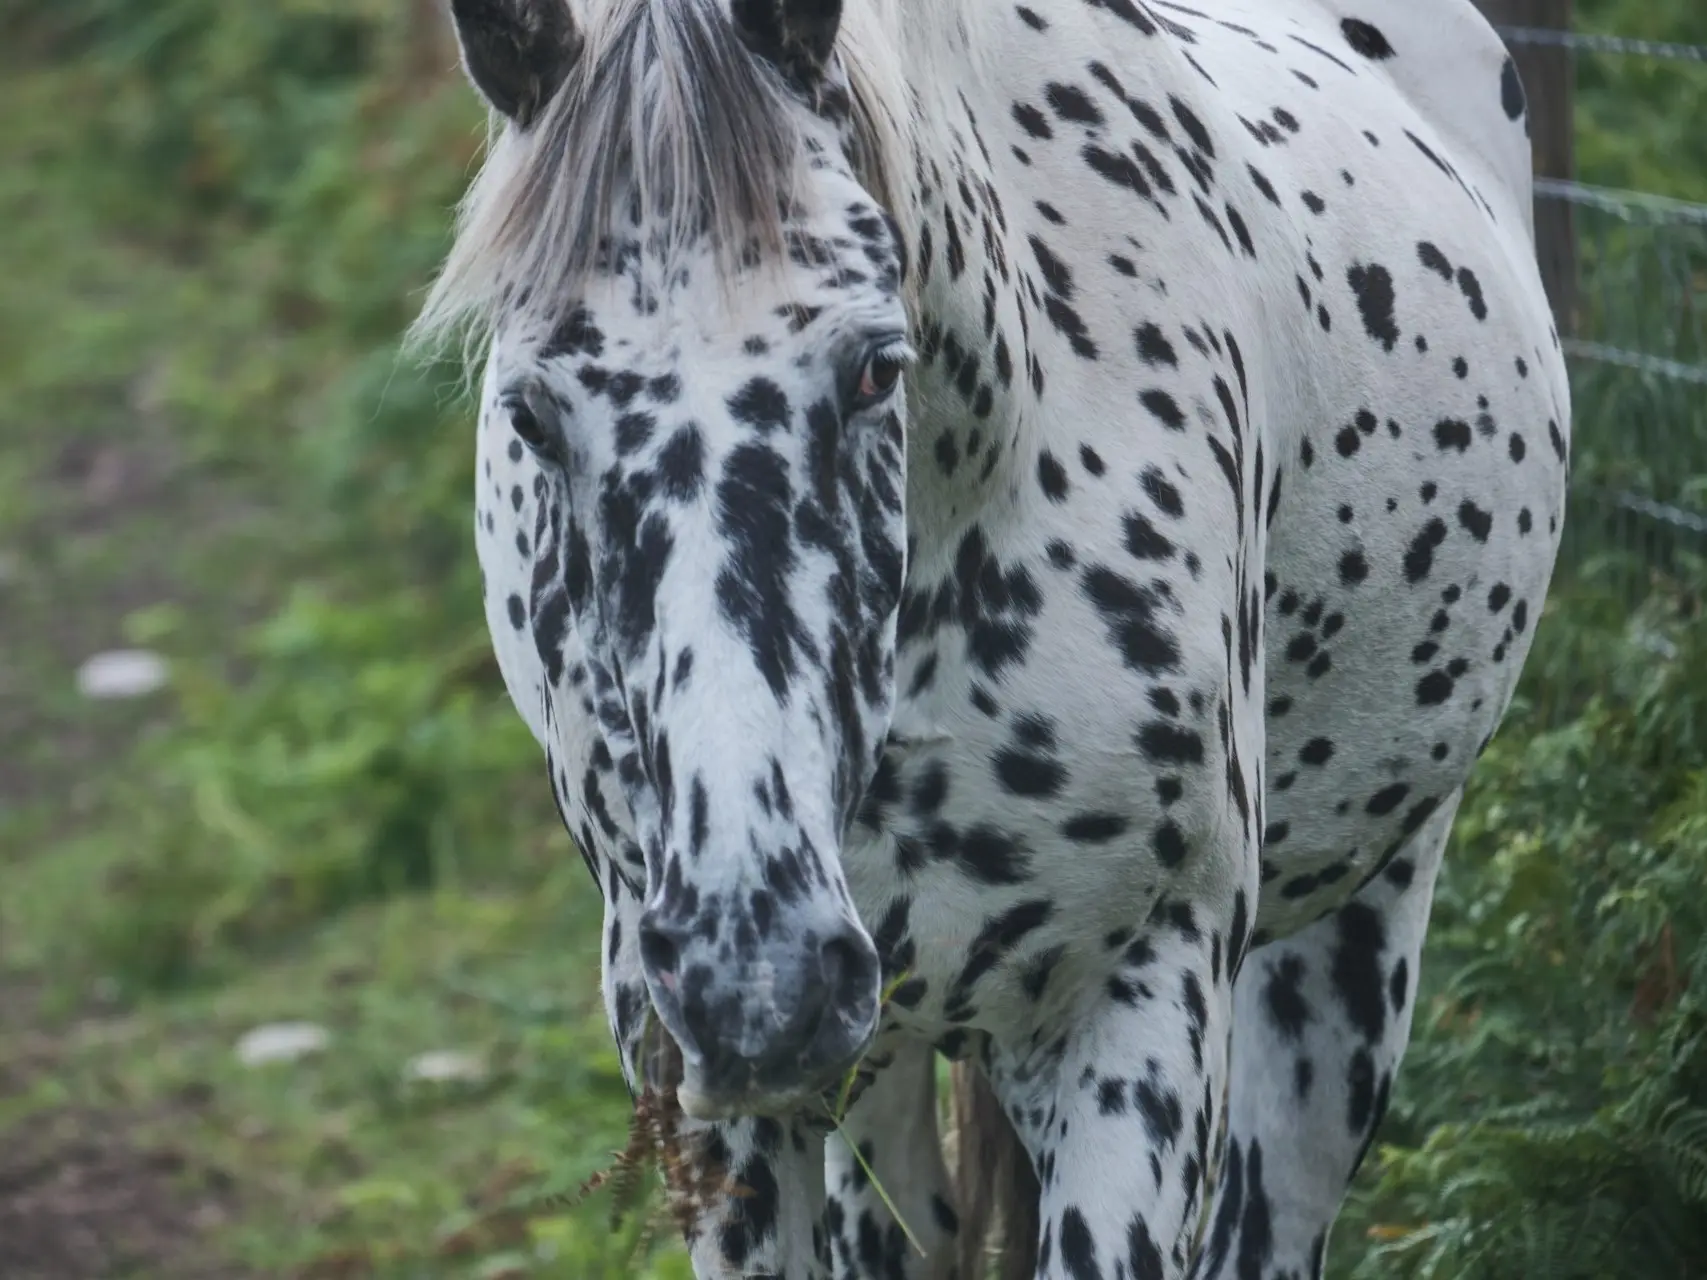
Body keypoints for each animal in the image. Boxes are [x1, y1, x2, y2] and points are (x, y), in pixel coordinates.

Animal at [409, 0, 1570, 1276]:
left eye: (876, 365)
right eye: (529, 412)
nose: (755, 978)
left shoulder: (1139, 1010)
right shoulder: (721, 1099)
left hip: (1355, 944)